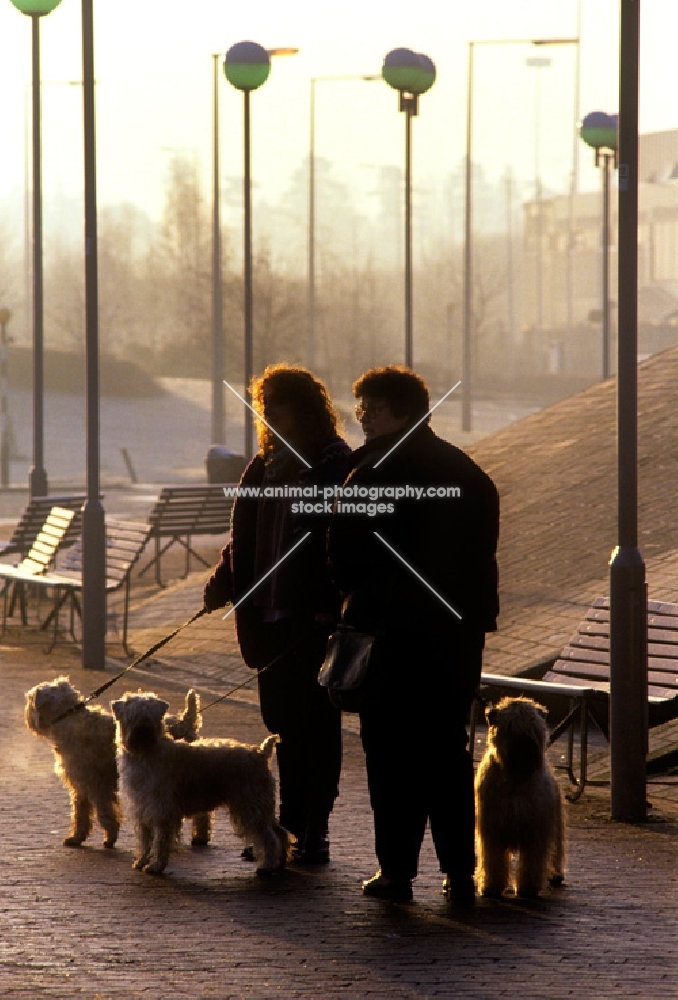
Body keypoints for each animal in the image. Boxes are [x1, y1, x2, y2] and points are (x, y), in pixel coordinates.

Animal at [24, 676, 205, 848]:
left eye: (31, 699)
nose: (28, 716)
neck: (69, 720)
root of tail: (184, 724)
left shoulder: (95, 786)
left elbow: (102, 813)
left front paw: (108, 838)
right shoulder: (82, 786)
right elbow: (82, 814)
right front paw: (78, 837)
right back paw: (199, 837)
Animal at [111, 688, 292, 876]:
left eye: (150, 715)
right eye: (132, 715)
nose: (143, 730)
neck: (146, 753)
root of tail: (261, 753)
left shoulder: (161, 810)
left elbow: (160, 840)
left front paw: (155, 866)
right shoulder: (142, 809)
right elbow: (145, 840)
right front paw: (141, 861)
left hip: (250, 806)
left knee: (268, 837)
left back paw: (266, 866)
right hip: (260, 805)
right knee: (280, 832)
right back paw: (280, 863)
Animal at [478, 696, 568, 900]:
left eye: (534, 725)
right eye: (510, 725)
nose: (525, 746)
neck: (516, 779)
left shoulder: (536, 830)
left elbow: (532, 863)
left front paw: (528, 888)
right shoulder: (492, 829)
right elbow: (493, 862)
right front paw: (491, 887)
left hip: (556, 820)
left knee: (557, 849)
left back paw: (556, 874)